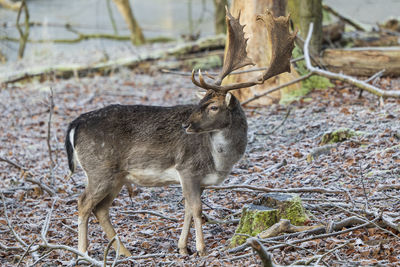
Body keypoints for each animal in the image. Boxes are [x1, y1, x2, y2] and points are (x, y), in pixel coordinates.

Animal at [65, 8, 296, 258]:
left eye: (213, 106)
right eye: (201, 102)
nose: (185, 125)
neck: (219, 160)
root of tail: (75, 124)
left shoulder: (198, 179)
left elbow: (187, 209)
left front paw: (183, 248)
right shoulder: (187, 168)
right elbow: (196, 209)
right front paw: (202, 249)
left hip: (117, 175)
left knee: (100, 208)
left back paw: (124, 252)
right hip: (100, 168)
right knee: (83, 202)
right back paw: (83, 251)